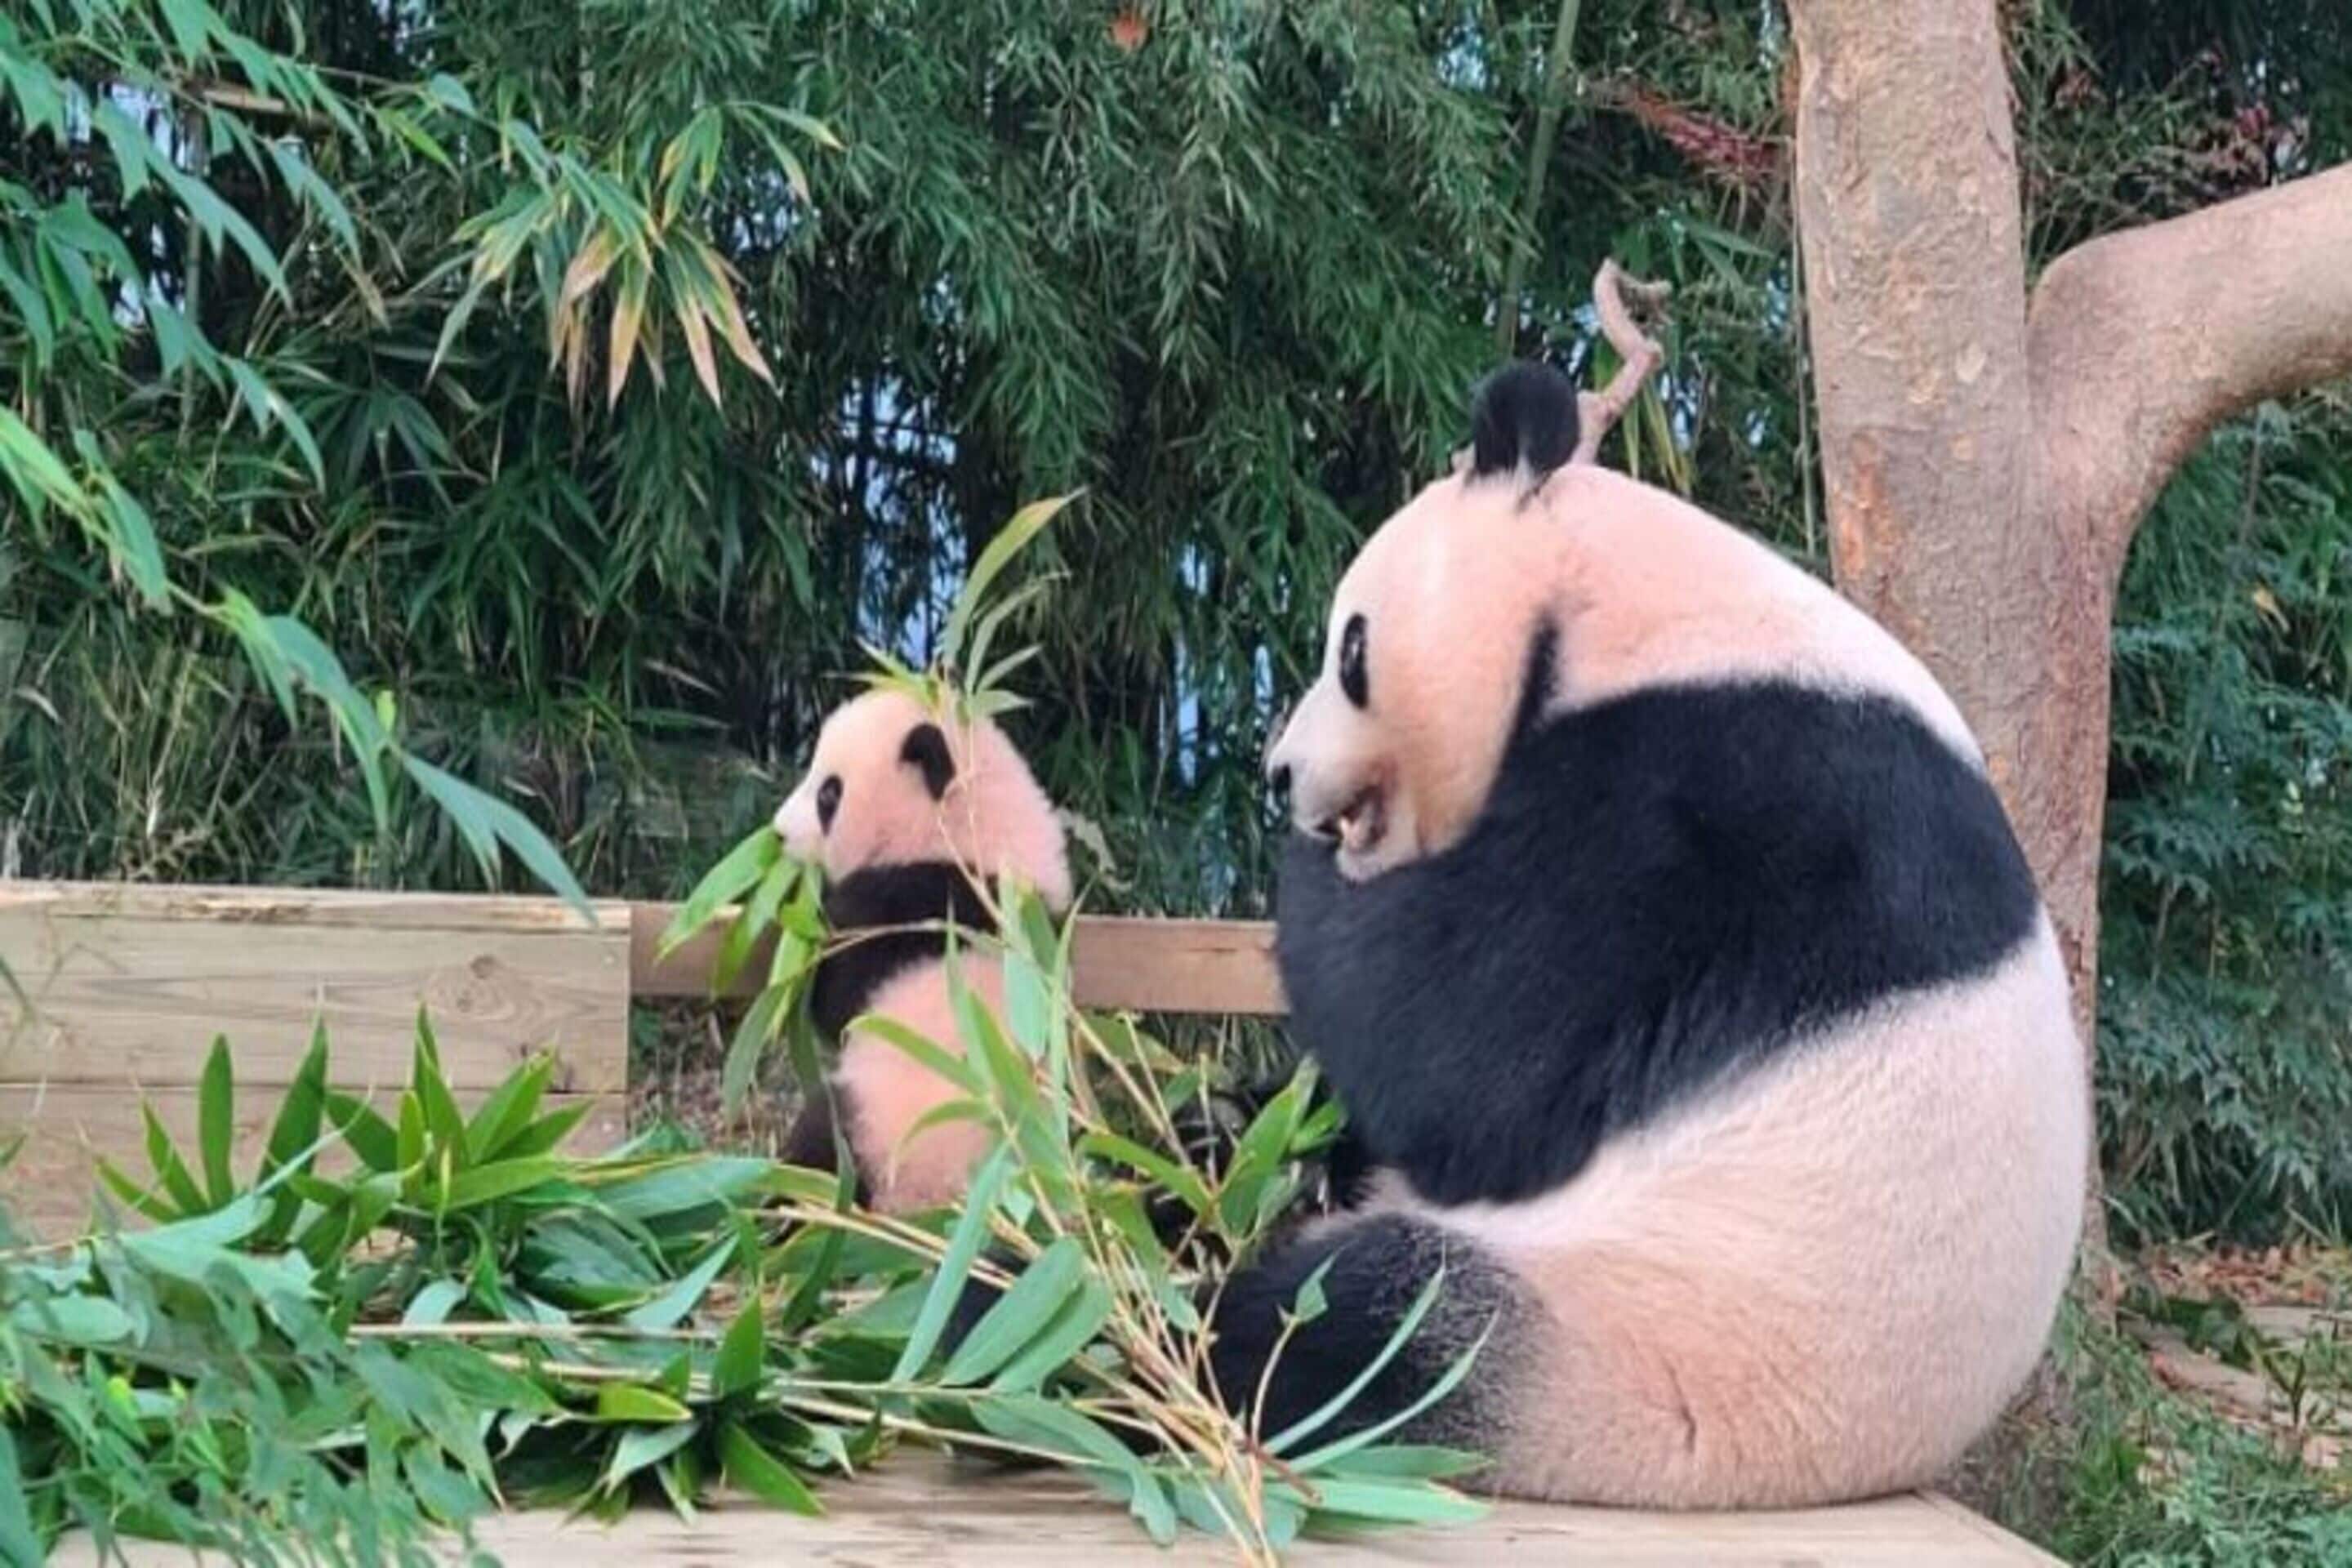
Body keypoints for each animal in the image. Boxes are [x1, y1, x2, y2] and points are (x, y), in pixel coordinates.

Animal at [769, 688, 1072, 1216]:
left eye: (829, 793)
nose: (778, 832)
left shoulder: (916, 902)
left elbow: (835, 995)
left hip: (879, 1126)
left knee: (820, 1152)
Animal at [1204, 361, 2090, 1508]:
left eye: (1351, 648)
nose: (1280, 775)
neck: (1637, 617)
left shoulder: (1718, 802)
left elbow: (1467, 1064)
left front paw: (1316, 876)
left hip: (1631, 1334)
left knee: (1346, 1329)